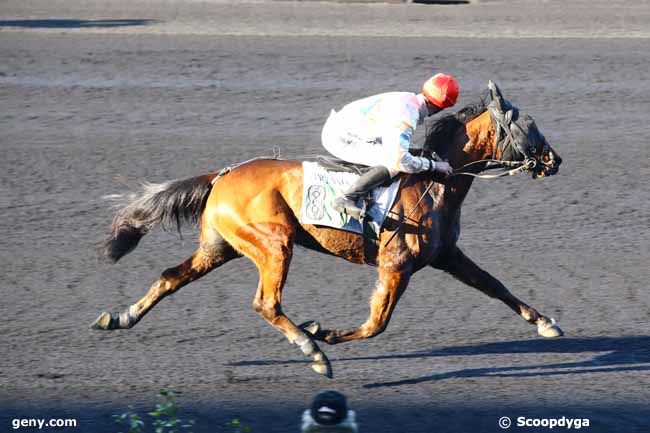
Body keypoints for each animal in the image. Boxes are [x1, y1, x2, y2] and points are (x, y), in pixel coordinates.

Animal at [92, 82, 560, 378]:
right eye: (529, 126)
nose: (554, 160)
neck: (433, 183)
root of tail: (222, 175)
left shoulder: (446, 255)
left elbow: (496, 285)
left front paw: (545, 322)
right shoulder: (396, 264)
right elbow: (377, 323)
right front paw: (324, 334)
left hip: (220, 246)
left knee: (170, 276)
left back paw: (120, 317)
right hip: (274, 242)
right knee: (266, 303)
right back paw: (312, 351)